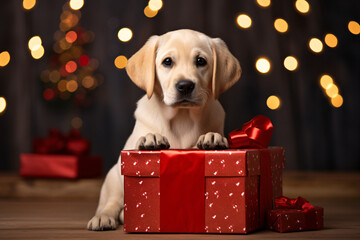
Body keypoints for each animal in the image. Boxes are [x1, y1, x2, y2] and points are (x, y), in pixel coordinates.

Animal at [86, 28, 242, 231]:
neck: (182, 117)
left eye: (201, 61)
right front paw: (151, 138)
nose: (185, 85)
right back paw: (103, 217)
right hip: (113, 178)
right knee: (111, 203)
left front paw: (212, 137)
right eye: (167, 62)